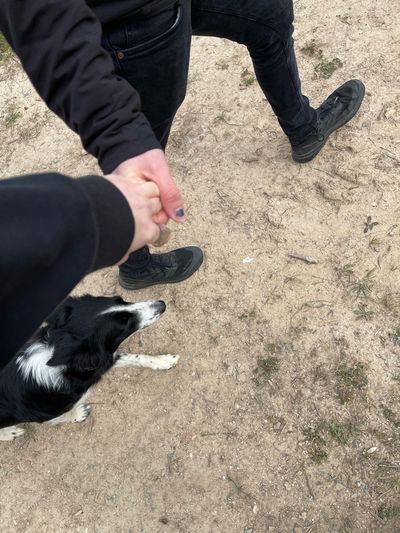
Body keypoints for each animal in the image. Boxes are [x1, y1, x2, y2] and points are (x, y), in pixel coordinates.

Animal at [0, 296, 178, 440]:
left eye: (120, 300)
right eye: (125, 322)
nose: (161, 305)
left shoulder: (101, 361)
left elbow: (137, 357)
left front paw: (163, 361)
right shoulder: (46, 415)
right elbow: (61, 417)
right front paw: (77, 415)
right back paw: (10, 433)